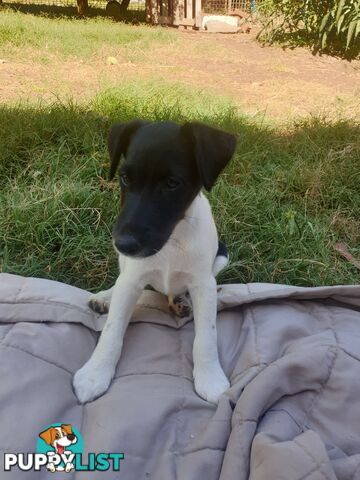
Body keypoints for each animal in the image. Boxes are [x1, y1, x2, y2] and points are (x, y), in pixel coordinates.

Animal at [73, 120, 236, 404]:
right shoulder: (131, 278)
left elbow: (206, 335)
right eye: (125, 178)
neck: (173, 241)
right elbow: (113, 329)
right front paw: (95, 373)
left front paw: (210, 377)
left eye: (172, 183)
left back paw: (180, 301)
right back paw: (105, 297)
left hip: (222, 256)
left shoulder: (203, 284)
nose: (123, 243)